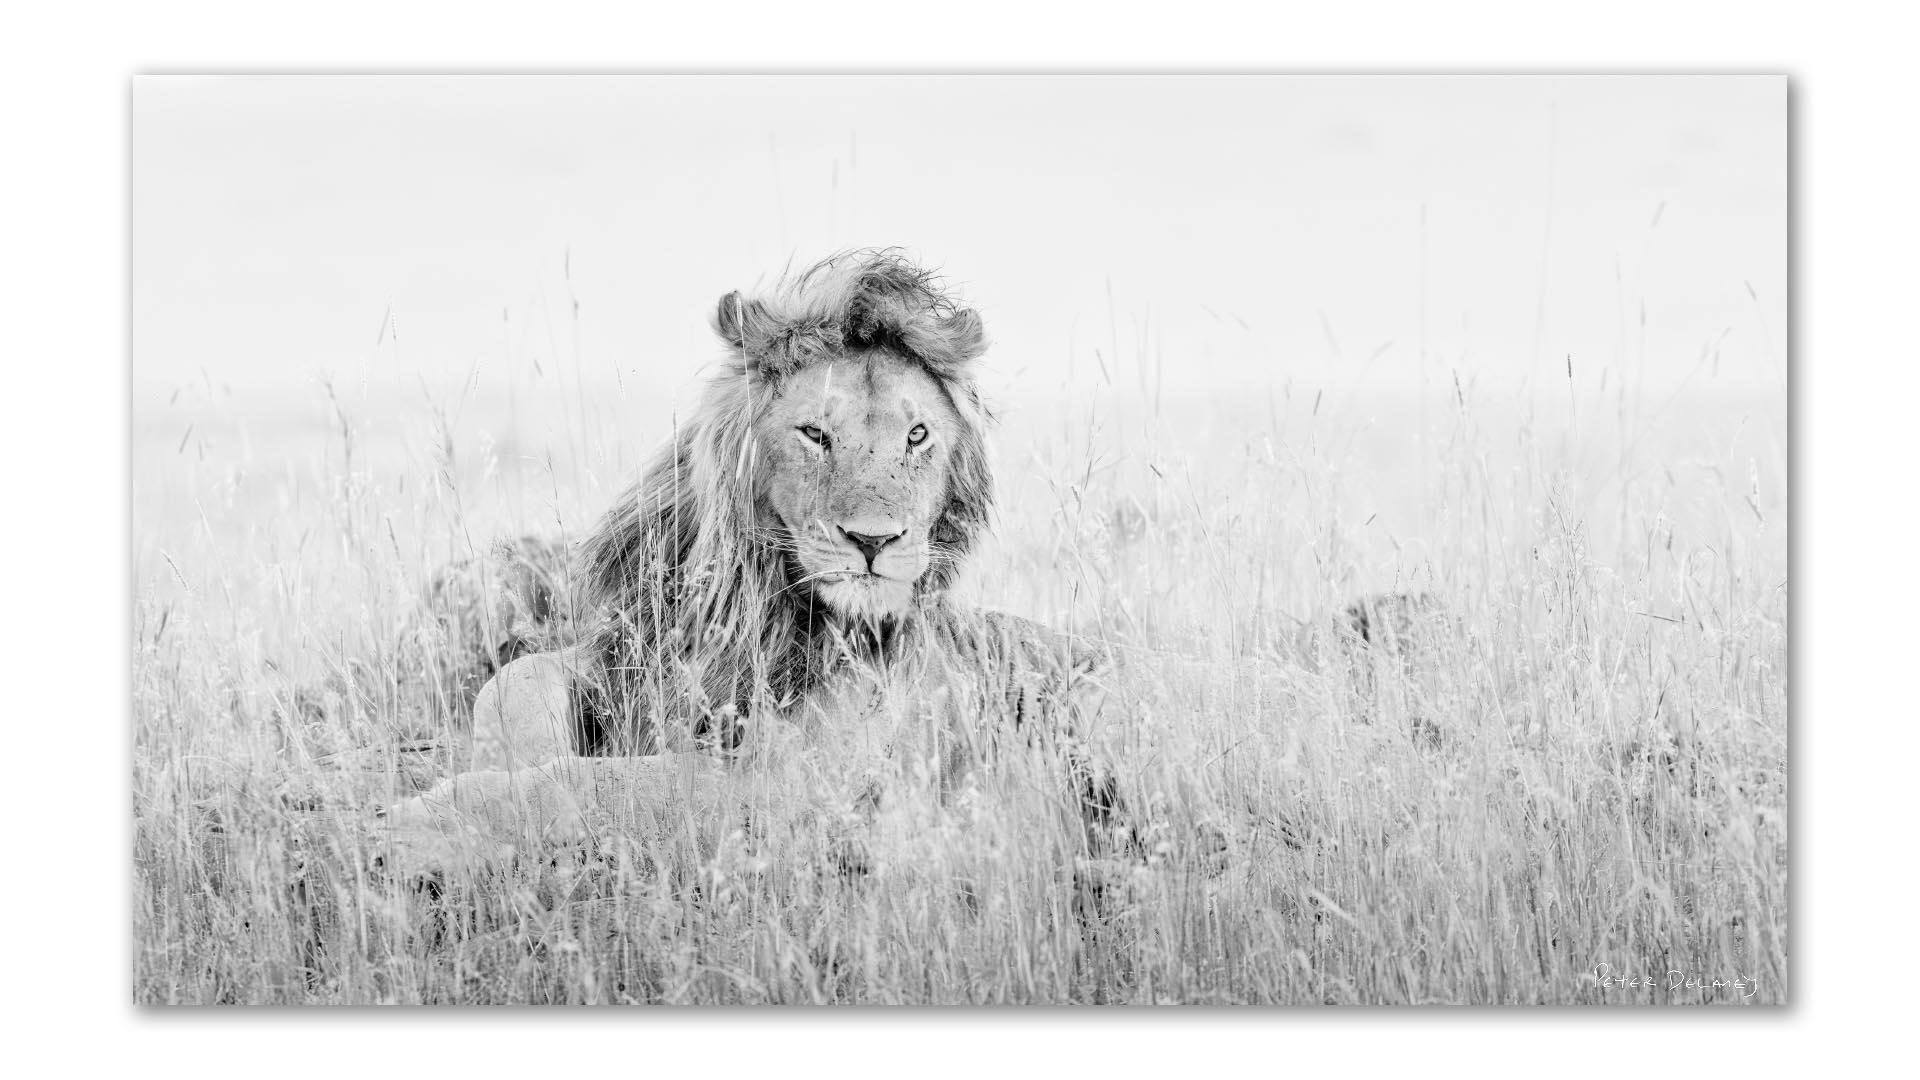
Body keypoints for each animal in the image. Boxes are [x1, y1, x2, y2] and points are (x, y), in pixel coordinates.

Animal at [383, 250, 1135, 881]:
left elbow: (614, 784)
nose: (875, 541)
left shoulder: (796, 779)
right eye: (816, 434)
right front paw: (507, 764)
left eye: (918, 436)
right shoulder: (627, 658)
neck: (756, 597)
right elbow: (512, 683)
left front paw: (427, 825)